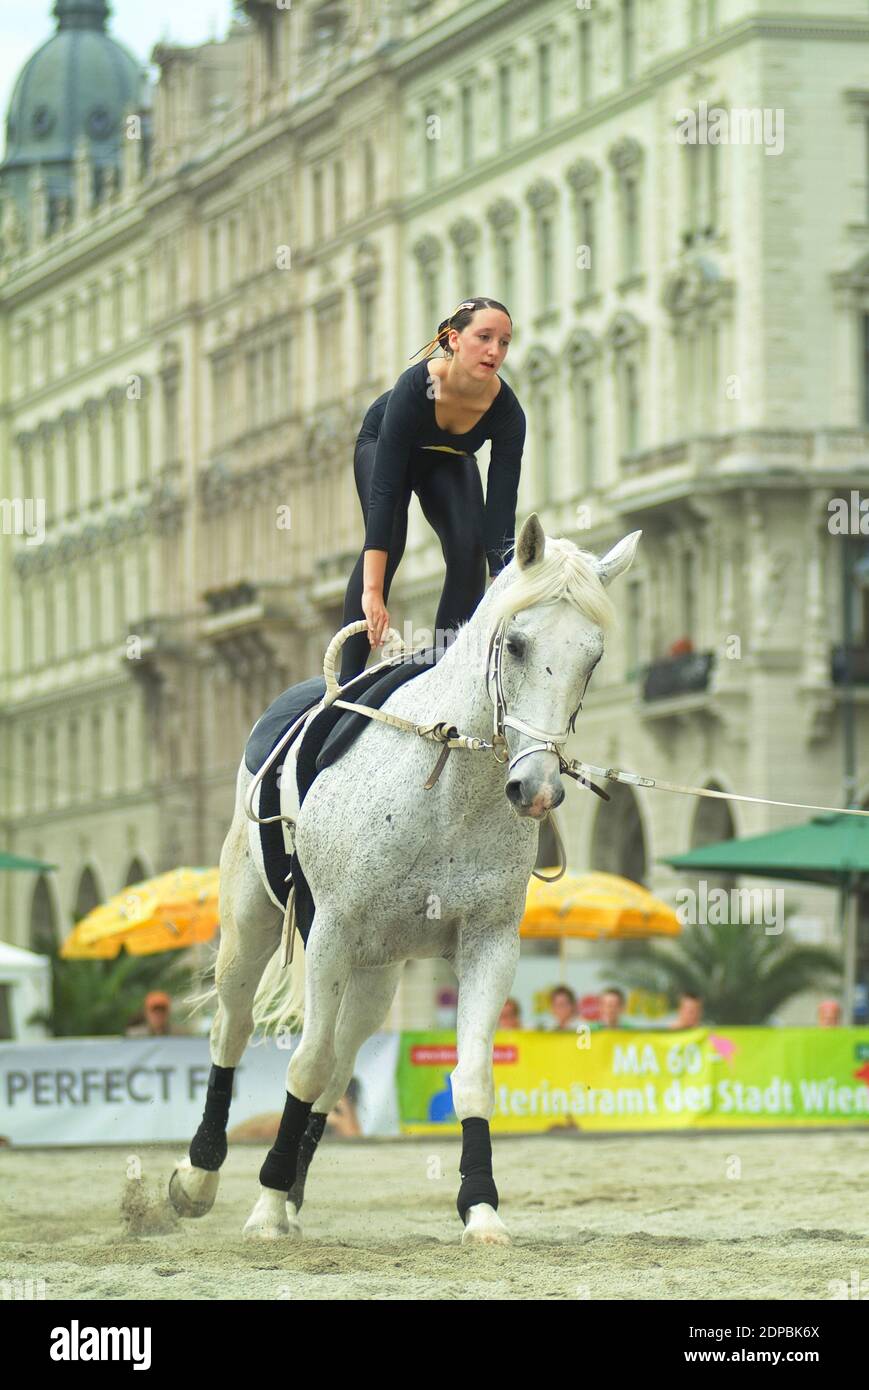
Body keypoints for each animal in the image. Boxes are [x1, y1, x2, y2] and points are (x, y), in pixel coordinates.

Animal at [169, 517, 636, 1245]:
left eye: (593, 656)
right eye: (518, 644)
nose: (536, 789)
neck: (448, 786)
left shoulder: (489, 943)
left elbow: (469, 1074)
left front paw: (480, 1207)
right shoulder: (329, 932)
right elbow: (302, 1064)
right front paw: (265, 1205)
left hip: (374, 973)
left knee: (338, 1066)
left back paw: (292, 1189)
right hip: (250, 929)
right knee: (234, 1031)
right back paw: (201, 1175)